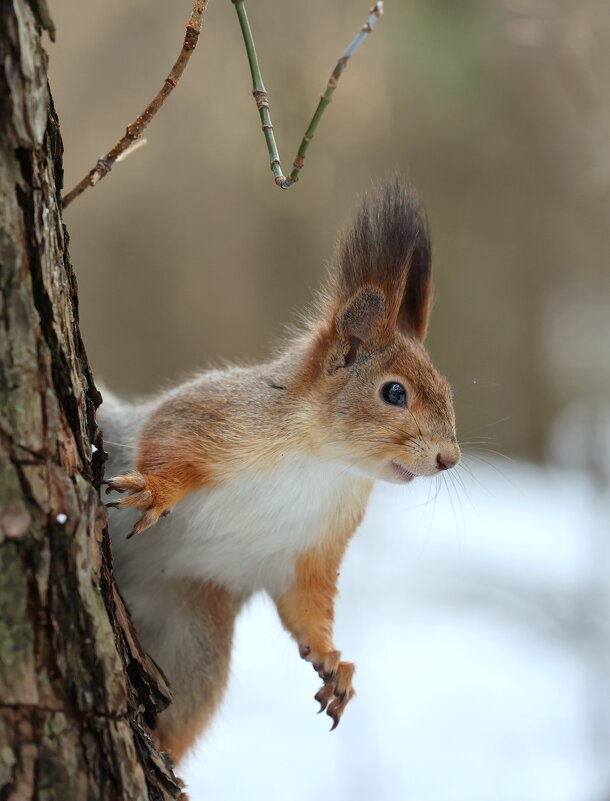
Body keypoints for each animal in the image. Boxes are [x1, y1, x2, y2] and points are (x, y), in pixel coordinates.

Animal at [100, 178, 458, 764]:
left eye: (447, 390)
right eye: (394, 393)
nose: (449, 458)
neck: (324, 463)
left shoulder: (312, 548)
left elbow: (307, 603)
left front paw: (335, 663)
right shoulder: (214, 417)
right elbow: (168, 440)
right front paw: (157, 489)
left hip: (194, 643)